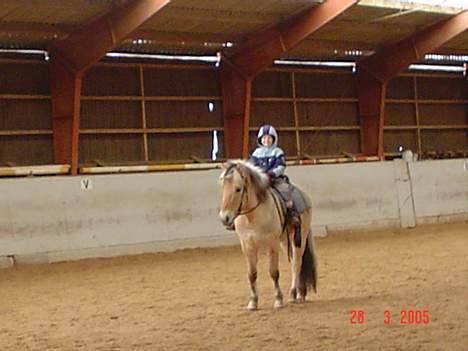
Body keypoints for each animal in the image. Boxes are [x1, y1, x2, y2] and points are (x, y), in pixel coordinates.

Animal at [219, 160, 318, 310]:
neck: (253, 216)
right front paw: (253, 302)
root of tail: (304, 195)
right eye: (223, 188)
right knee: (293, 263)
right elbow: (252, 274)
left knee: (297, 263)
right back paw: (299, 294)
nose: (224, 218)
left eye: (238, 189)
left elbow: (273, 272)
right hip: (284, 241)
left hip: (299, 237)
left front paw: (278, 300)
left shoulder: (272, 244)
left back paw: (294, 294)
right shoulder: (247, 246)